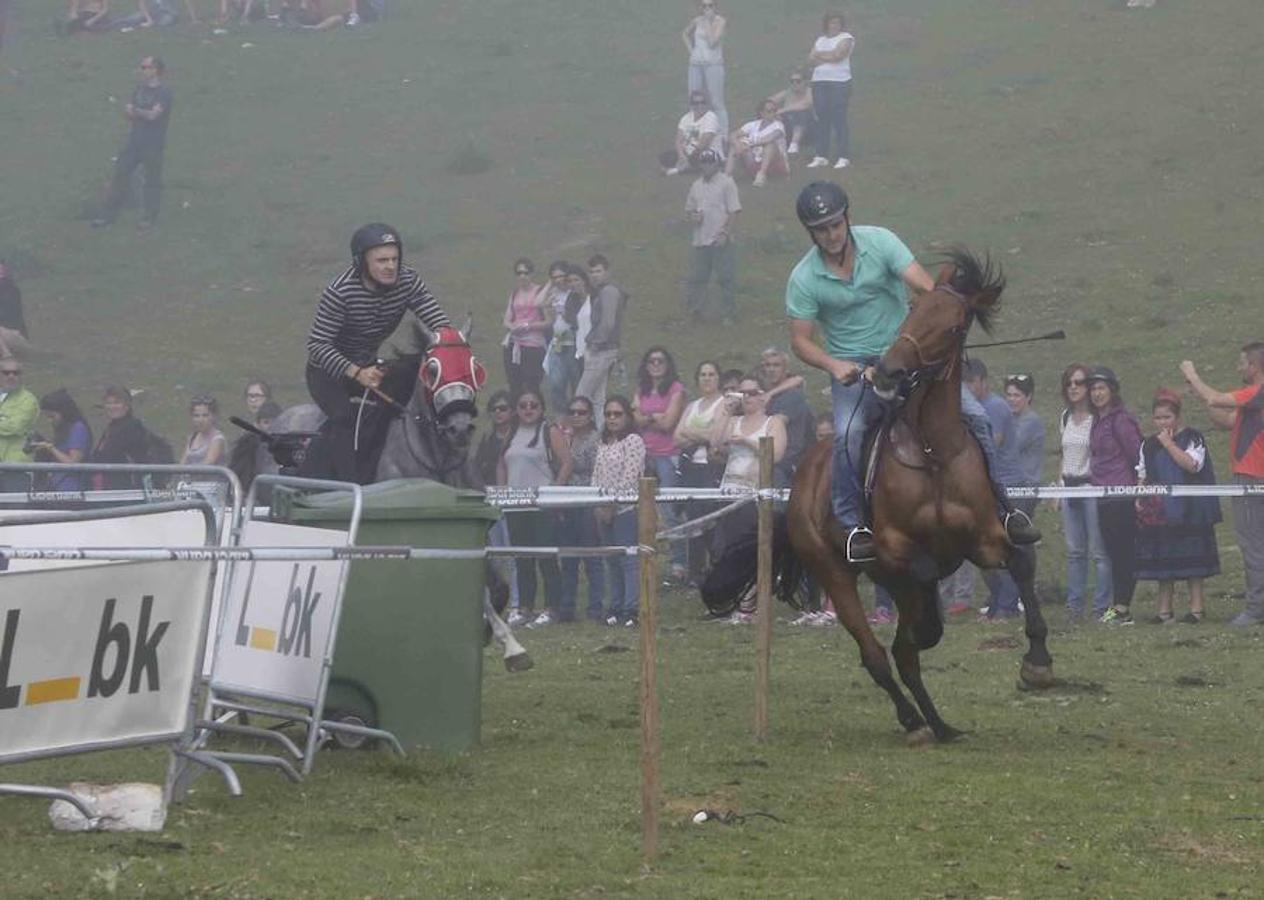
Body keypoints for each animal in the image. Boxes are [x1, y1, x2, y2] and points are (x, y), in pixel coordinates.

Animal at [783, 247, 1051, 743]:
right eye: (913, 309)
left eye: (953, 325)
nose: (888, 372)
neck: (932, 451)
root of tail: (804, 472)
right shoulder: (895, 548)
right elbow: (923, 578)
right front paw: (930, 625)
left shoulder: (986, 538)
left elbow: (1021, 561)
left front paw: (1038, 664)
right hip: (835, 573)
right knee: (878, 655)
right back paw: (913, 719)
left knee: (905, 656)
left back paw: (940, 724)